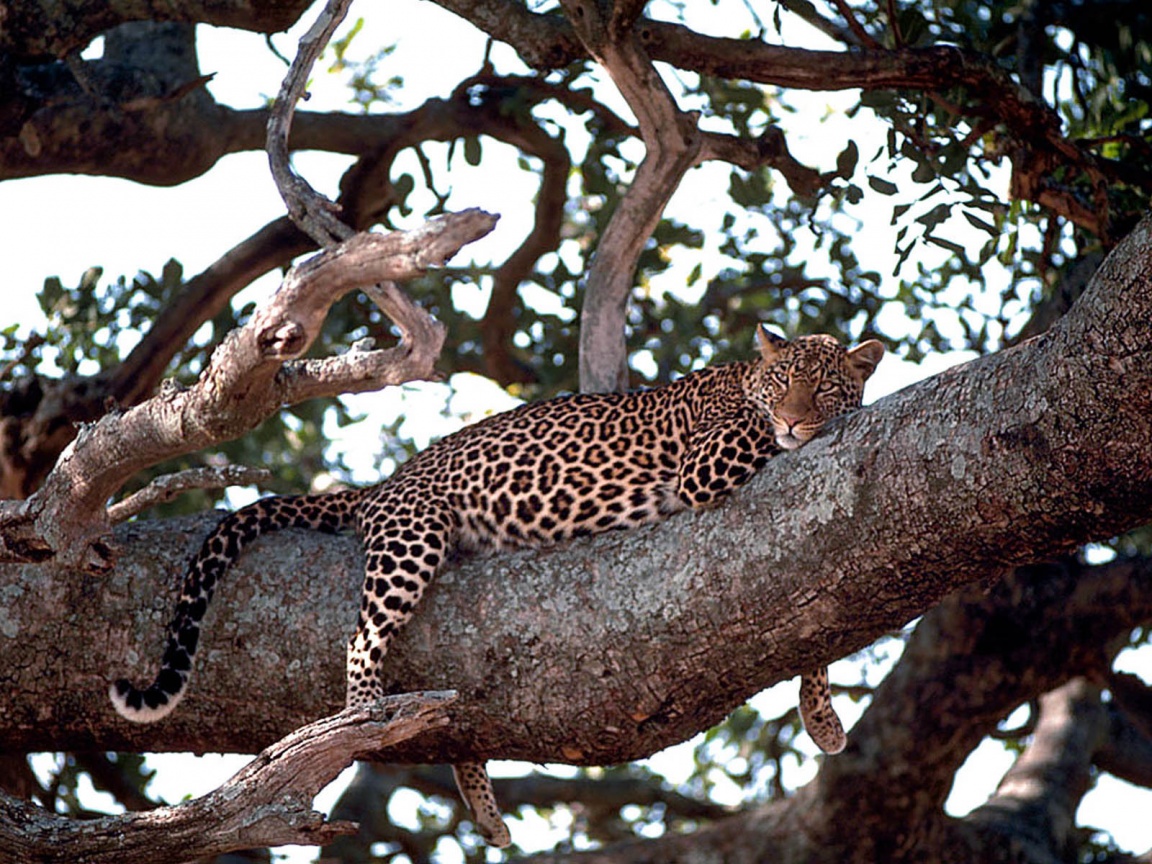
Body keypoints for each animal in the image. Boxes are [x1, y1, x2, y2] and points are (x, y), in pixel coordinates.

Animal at [111, 326, 884, 847]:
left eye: (824, 384)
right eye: (783, 382)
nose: (797, 417)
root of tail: (385, 483)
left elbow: (817, 632)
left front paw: (821, 717)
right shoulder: (709, 461)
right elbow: (761, 441)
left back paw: (482, 808)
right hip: (412, 538)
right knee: (362, 637)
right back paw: (363, 719)